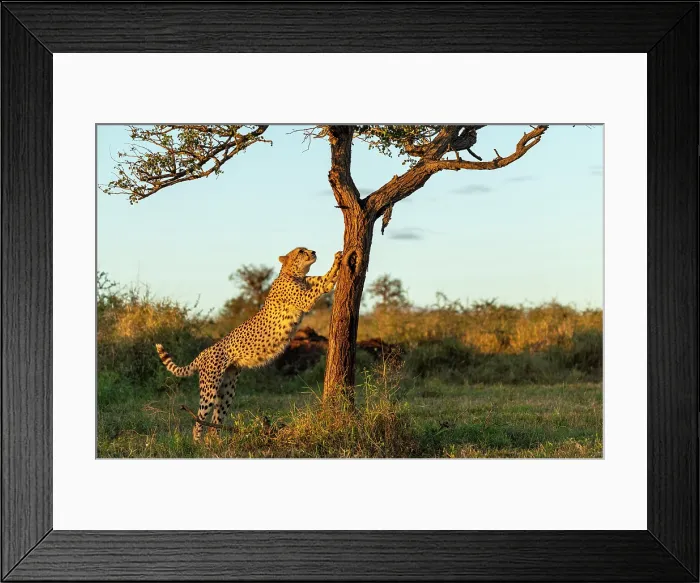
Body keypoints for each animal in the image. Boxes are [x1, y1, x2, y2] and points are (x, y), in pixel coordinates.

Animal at [155, 247, 342, 442]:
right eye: (300, 251)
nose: (313, 252)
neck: (293, 273)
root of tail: (205, 351)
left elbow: (323, 278)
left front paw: (337, 263)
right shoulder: (304, 300)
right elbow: (319, 288)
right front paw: (331, 279)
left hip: (227, 389)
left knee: (216, 421)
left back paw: (216, 444)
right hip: (210, 387)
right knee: (199, 419)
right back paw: (197, 443)